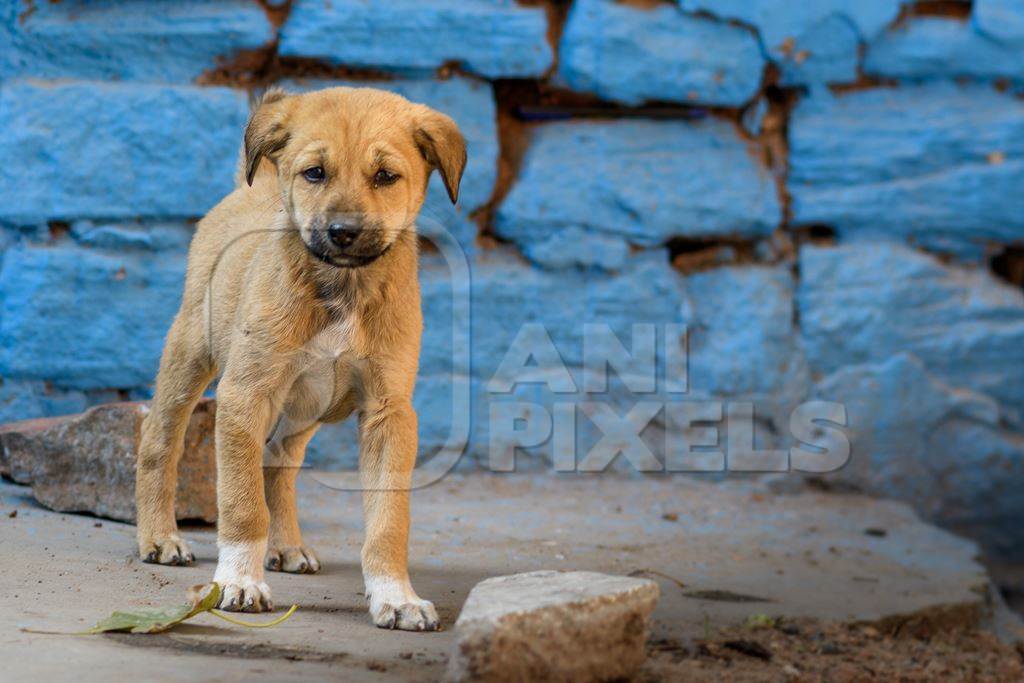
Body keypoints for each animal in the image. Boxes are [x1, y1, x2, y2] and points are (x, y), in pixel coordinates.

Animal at [132, 85, 464, 630]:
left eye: (385, 176)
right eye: (314, 173)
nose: (343, 232)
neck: (342, 287)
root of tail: (258, 181)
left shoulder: (389, 412)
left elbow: (388, 522)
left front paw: (396, 596)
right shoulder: (245, 393)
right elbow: (242, 502)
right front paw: (239, 581)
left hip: (306, 407)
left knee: (278, 461)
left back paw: (285, 546)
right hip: (190, 354)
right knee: (160, 442)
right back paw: (159, 536)